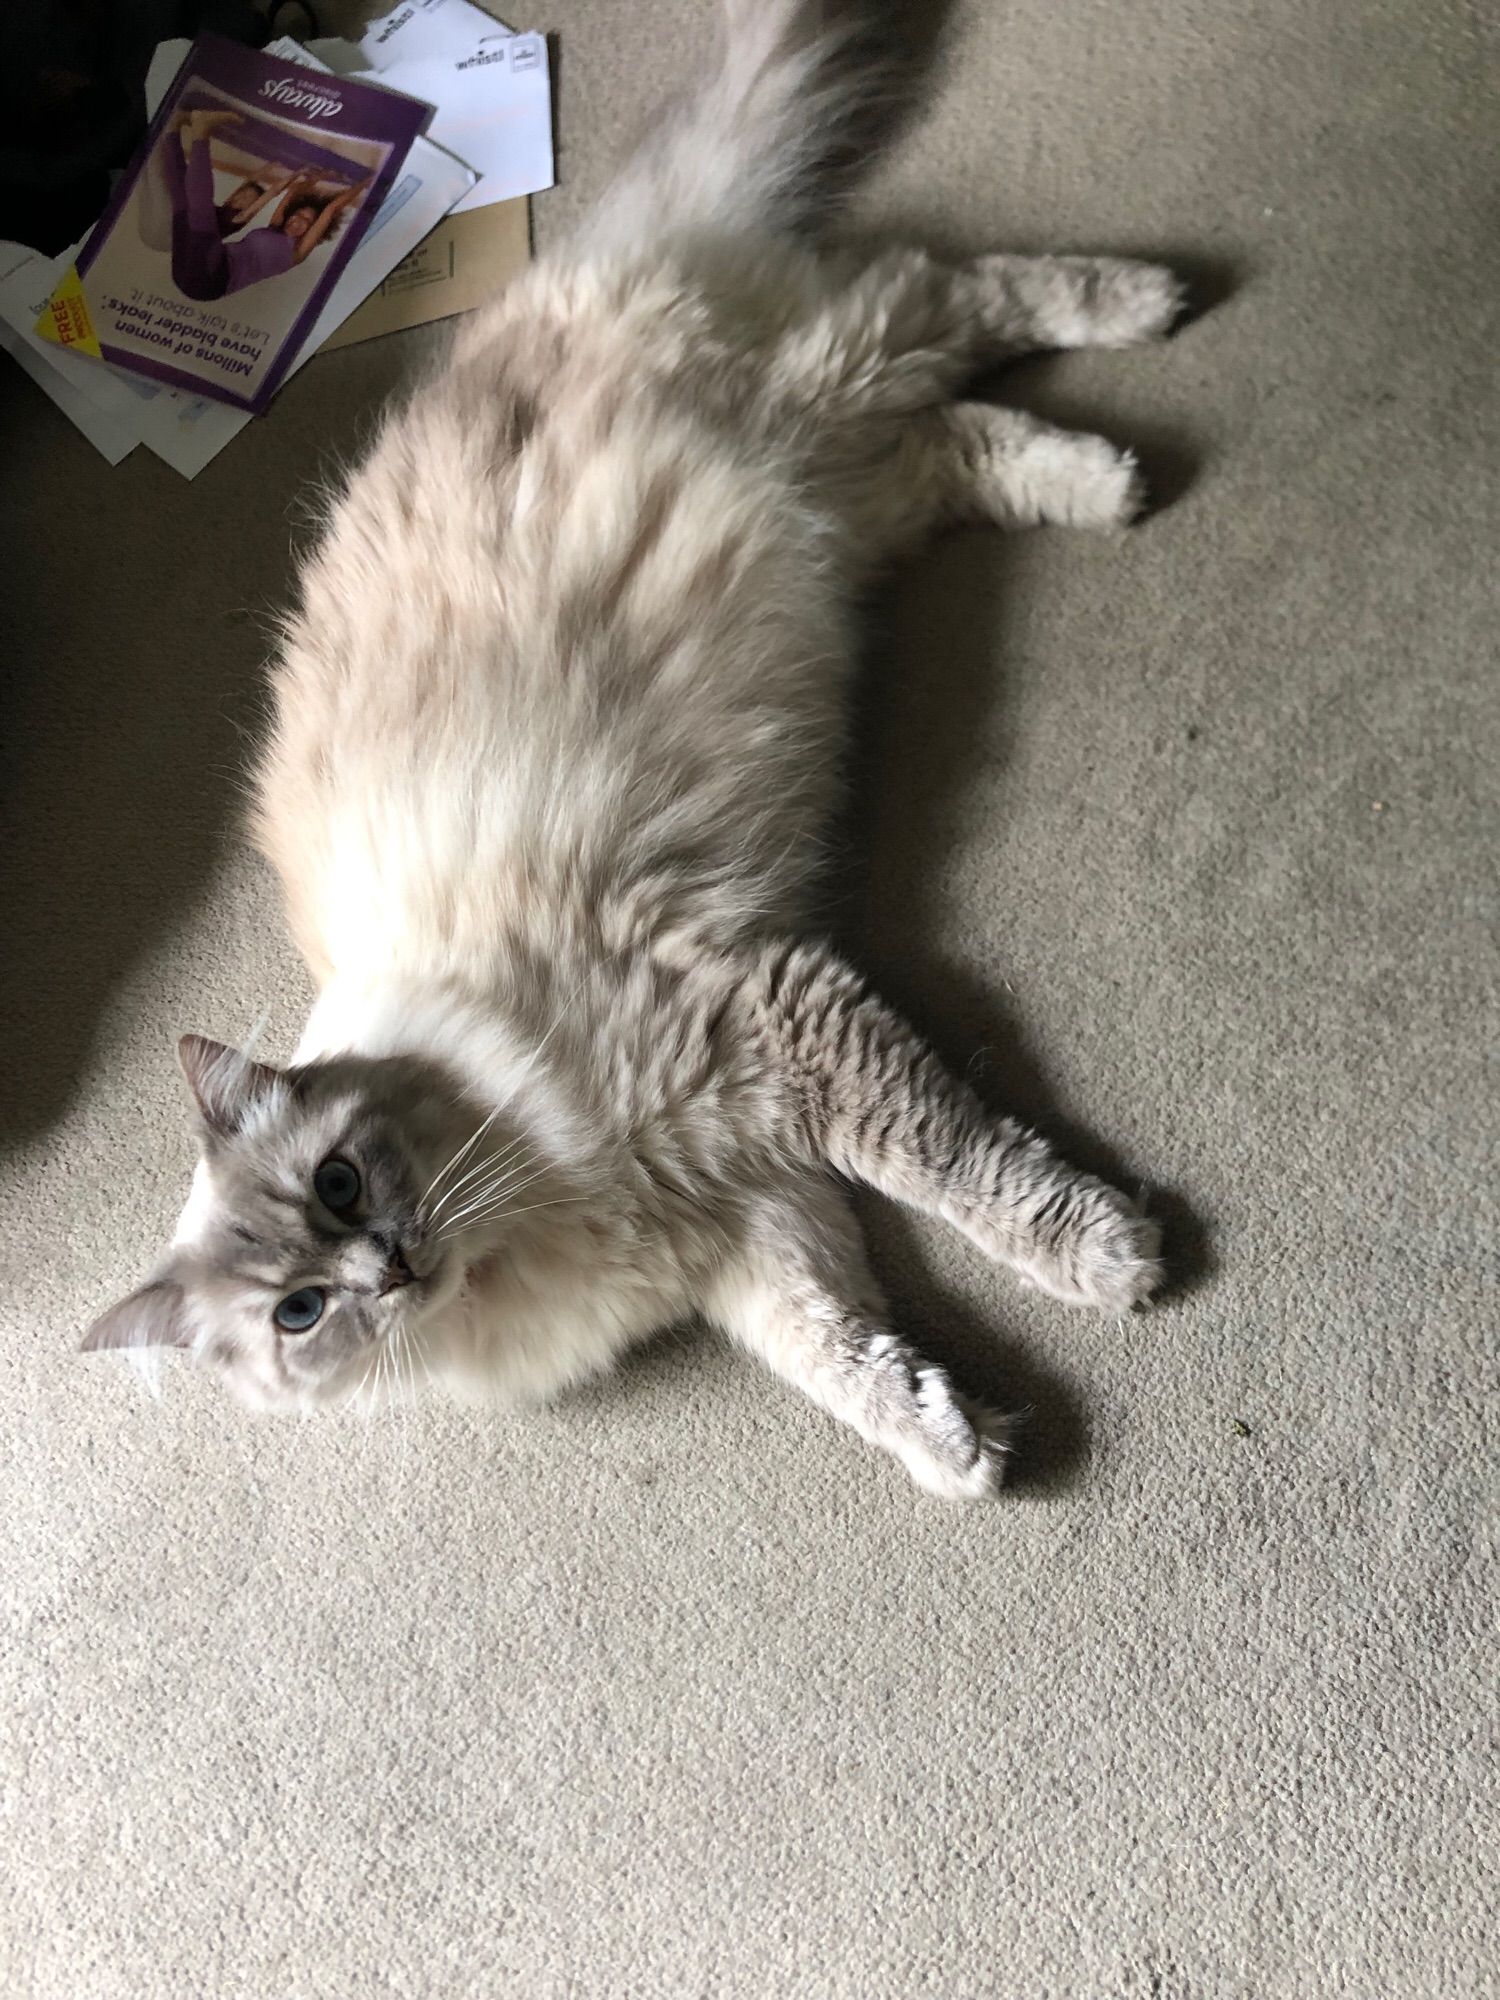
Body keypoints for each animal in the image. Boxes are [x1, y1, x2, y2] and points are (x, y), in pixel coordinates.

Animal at [82, 0, 1184, 1504]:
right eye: (300, 1312)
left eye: (339, 1186)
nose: (387, 1268)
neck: (536, 1200)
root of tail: (544, 288)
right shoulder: (750, 1219)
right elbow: (846, 1357)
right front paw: (957, 1450)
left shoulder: (774, 1031)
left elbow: (973, 1176)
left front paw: (1111, 1258)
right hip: (843, 501)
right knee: (962, 433)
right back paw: (1100, 476)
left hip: (827, 386)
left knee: (965, 290)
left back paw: (1146, 312)